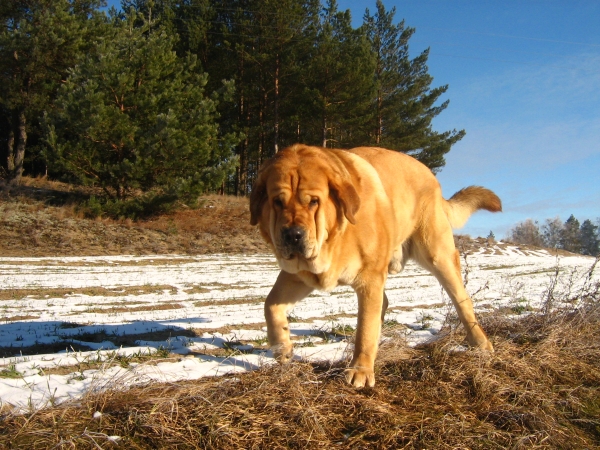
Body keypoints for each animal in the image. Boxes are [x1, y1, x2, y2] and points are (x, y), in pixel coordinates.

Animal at [250, 144, 502, 386]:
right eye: (277, 202)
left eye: (313, 202)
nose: (293, 235)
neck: (336, 239)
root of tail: (431, 176)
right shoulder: (298, 275)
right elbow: (270, 304)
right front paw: (282, 348)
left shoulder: (369, 278)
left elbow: (365, 328)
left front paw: (360, 370)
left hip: (438, 255)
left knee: (462, 301)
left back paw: (480, 343)